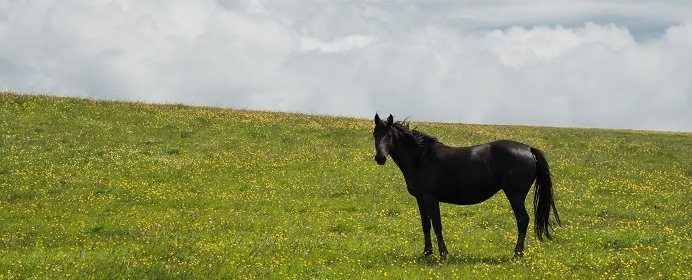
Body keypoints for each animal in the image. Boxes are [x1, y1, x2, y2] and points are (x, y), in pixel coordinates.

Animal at [370, 114, 560, 258]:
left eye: (389, 135)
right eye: (375, 134)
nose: (380, 158)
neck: (421, 158)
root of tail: (528, 149)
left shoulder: (431, 199)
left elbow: (437, 225)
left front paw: (443, 255)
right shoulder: (420, 199)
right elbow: (426, 225)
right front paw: (427, 253)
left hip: (515, 194)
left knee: (523, 220)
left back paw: (517, 254)